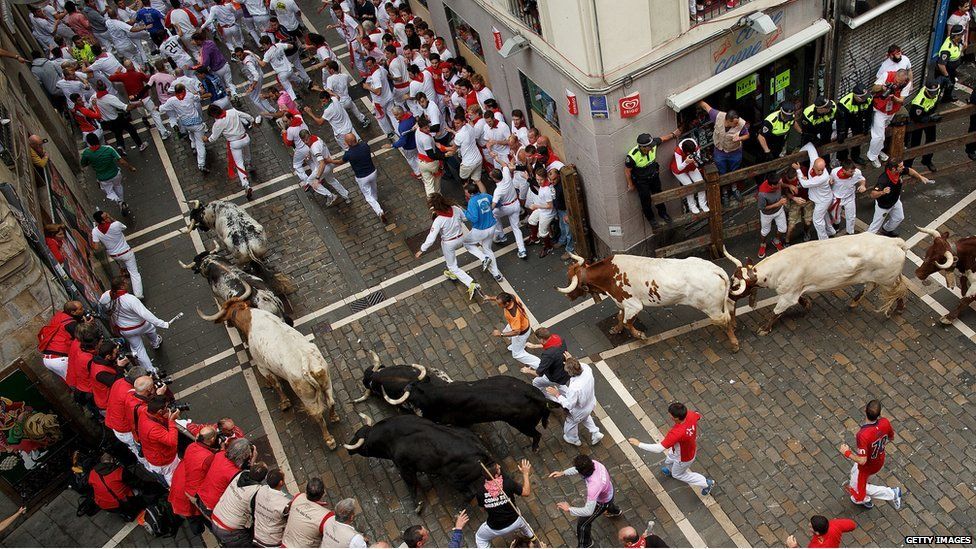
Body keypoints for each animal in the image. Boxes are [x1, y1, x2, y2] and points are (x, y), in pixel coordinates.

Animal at [194, 298, 340, 448]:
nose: (228, 325)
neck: (250, 319)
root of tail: (308, 364)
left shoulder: (262, 367)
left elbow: (276, 384)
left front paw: (284, 402)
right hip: (326, 381)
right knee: (331, 402)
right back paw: (334, 417)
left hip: (307, 397)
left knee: (318, 416)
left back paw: (329, 440)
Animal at [346, 412, 496, 512]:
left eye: (360, 441)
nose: (348, 450)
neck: (390, 436)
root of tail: (480, 450)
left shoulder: (405, 468)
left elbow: (411, 485)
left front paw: (417, 505)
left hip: (455, 479)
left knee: (469, 494)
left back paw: (459, 509)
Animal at [556, 253, 740, 352]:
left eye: (570, 280)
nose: (568, 297)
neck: (609, 276)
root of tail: (715, 269)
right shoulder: (621, 302)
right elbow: (619, 317)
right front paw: (616, 329)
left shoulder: (633, 305)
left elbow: (627, 321)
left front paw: (640, 336)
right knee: (731, 308)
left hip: (711, 308)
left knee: (724, 320)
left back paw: (734, 343)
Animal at [720, 231, 912, 334]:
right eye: (732, 279)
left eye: (735, 286)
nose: (727, 297)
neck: (779, 268)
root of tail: (895, 242)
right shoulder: (794, 292)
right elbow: (801, 300)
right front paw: (807, 305)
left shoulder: (787, 296)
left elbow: (776, 312)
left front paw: (764, 329)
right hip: (878, 278)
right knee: (871, 287)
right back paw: (853, 302)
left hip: (888, 280)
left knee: (899, 291)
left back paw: (900, 308)